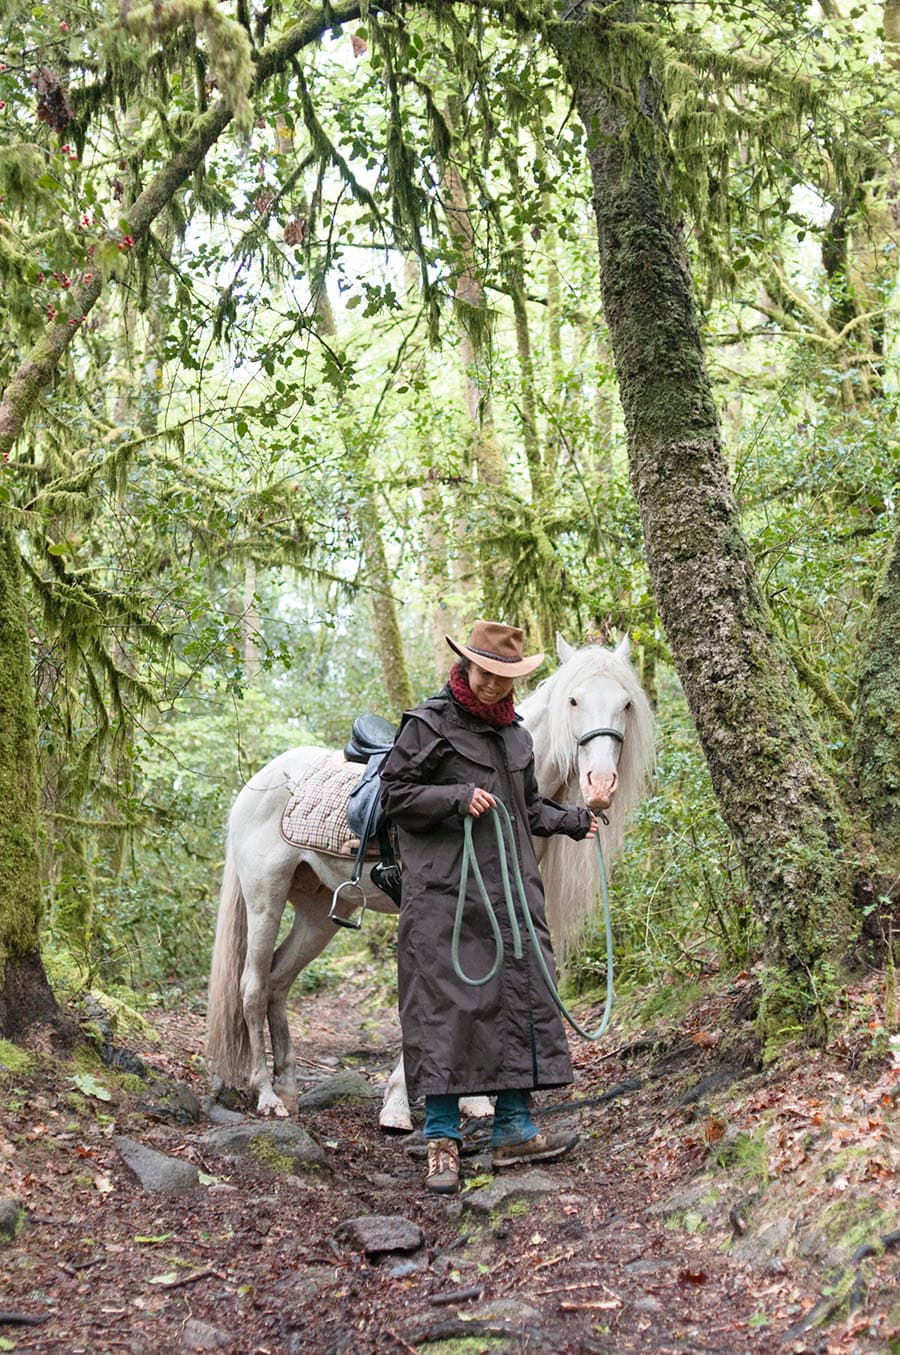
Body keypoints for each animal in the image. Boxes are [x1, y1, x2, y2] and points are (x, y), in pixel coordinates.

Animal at [203, 634, 653, 1121]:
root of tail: (255, 785)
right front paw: (402, 1103)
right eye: (573, 700)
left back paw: (286, 1087)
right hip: (264, 899)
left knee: (278, 982)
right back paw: (266, 1094)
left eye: (626, 704)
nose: (600, 786)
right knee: (252, 987)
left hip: (318, 913)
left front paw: (475, 1098)